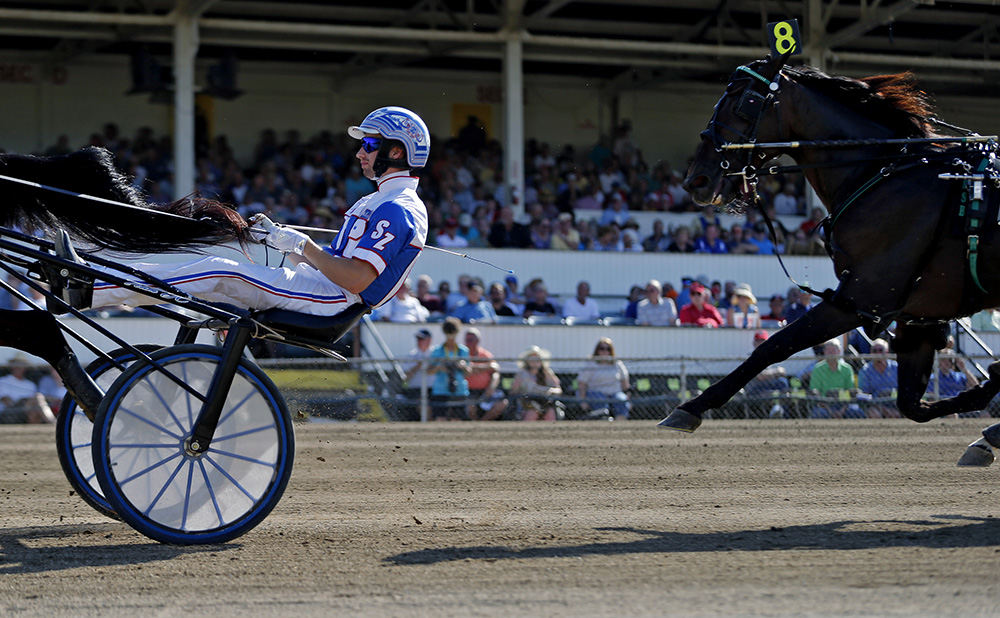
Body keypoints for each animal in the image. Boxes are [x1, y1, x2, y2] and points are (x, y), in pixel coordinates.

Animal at [660, 54, 1000, 438]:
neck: (884, 172)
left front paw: (693, 405)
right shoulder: (918, 315)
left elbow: (774, 346)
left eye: (742, 99)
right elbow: (912, 404)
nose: (696, 179)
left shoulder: (863, 298)